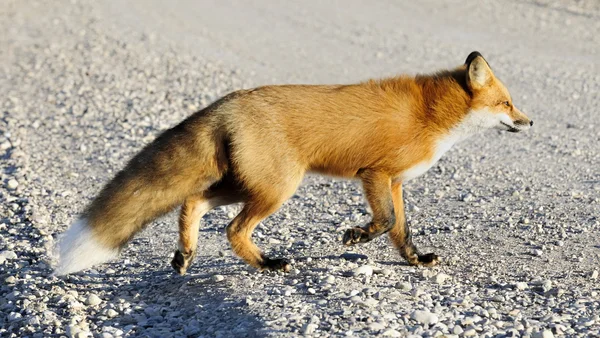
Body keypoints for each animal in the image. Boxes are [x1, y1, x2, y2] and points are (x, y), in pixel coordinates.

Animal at [54, 52, 532, 274]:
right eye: (507, 103)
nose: (530, 122)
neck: (433, 115)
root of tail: (227, 102)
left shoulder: (396, 182)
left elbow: (401, 230)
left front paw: (415, 260)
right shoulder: (375, 174)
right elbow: (383, 222)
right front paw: (356, 236)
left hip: (247, 183)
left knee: (192, 201)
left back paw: (187, 254)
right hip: (278, 188)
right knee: (233, 229)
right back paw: (268, 265)